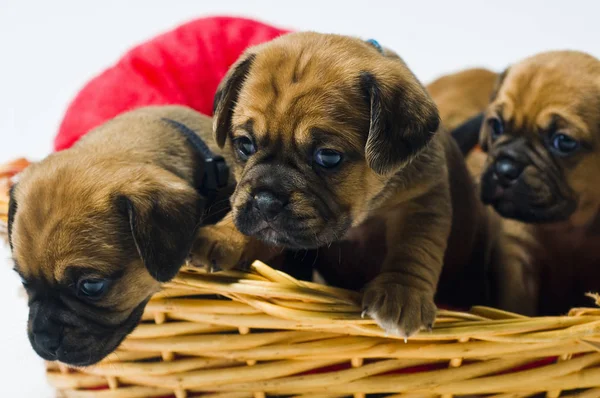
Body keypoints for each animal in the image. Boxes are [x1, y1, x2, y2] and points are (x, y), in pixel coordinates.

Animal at [195, 31, 500, 336]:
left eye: (328, 157)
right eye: (245, 144)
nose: (266, 202)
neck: (363, 215)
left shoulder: (421, 204)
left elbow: (413, 248)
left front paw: (401, 293)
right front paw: (223, 235)